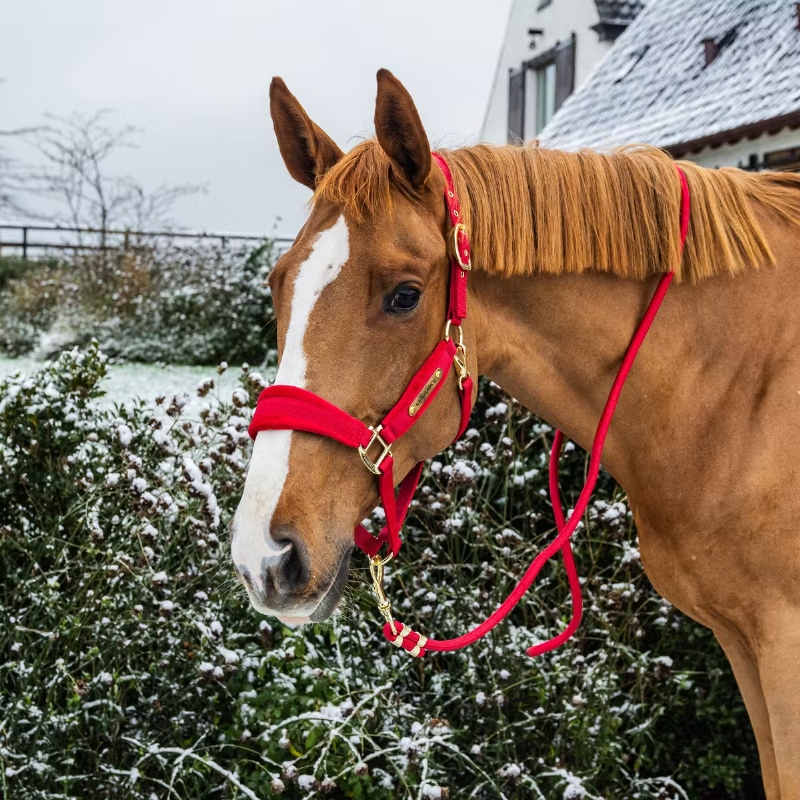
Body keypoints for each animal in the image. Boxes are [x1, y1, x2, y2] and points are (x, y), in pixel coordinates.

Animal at [230, 69, 800, 798]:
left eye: (406, 294)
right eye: (279, 284)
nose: (264, 555)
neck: (736, 384)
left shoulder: (780, 647)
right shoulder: (744, 645)